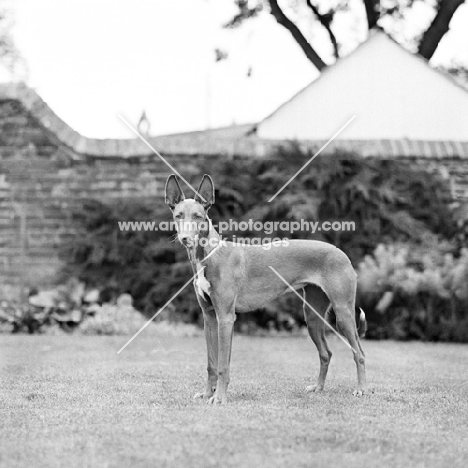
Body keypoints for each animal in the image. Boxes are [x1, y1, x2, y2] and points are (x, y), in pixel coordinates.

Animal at [165, 174, 366, 404]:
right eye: (178, 215)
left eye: (198, 216)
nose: (185, 239)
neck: (209, 256)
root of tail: (341, 252)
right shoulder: (209, 318)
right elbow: (211, 363)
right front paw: (208, 393)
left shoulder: (226, 318)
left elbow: (223, 364)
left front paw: (219, 397)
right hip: (312, 316)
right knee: (326, 353)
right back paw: (318, 387)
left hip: (343, 313)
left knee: (359, 353)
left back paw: (361, 389)